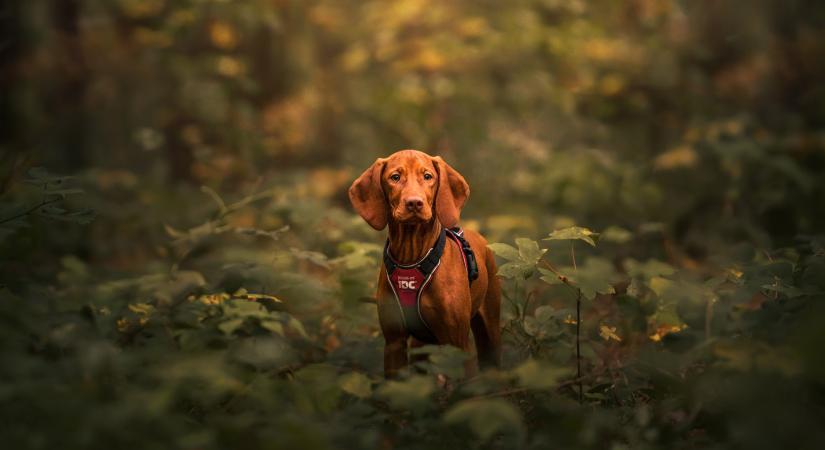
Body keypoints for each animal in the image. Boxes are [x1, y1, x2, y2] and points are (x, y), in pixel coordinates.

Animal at [346, 149, 498, 378]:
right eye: (395, 177)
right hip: (422, 347)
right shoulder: (394, 342)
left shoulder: (458, 343)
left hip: (489, 329)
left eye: (427, 176)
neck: (412, 257)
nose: (414, 203)